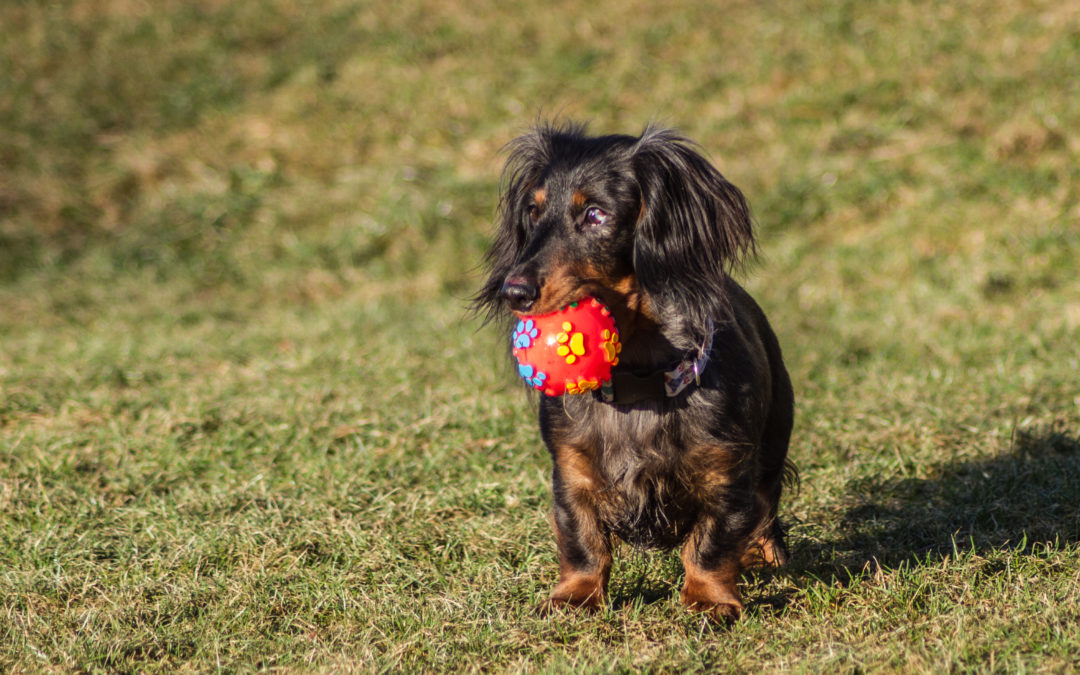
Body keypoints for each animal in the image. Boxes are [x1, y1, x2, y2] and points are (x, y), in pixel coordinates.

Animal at [473, 122, 794, 622]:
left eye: (596, 214)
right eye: (533, 210)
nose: (514, 292)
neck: (637, 383)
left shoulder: (727, 472)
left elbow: (712, 544)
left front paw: (710, 599)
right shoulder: (571, 470)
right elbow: (583, 541)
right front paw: (575, 596)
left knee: (767, 511)